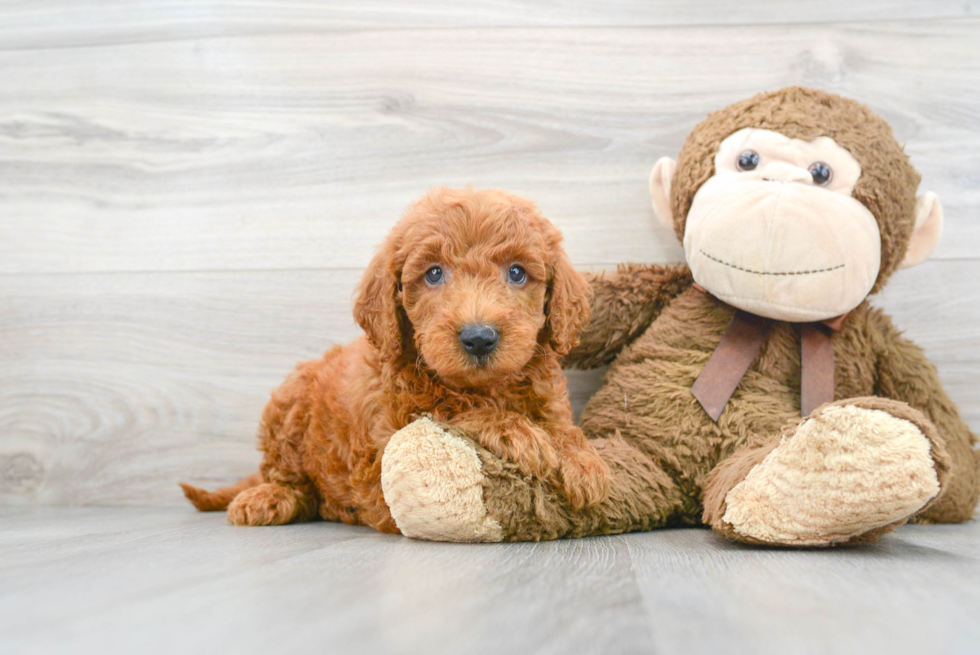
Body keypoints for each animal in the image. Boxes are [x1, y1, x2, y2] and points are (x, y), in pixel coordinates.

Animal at [181, 187, 608, 532]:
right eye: (434, 274)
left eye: (517, 273)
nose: (478, 338)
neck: (485, 387)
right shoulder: (391, 435)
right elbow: (454, 410)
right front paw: (517, 432)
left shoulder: (549, 402)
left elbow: (562, 428)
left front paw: (582, 460)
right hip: (288, 405)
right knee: (288, 477)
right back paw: (270, 498)